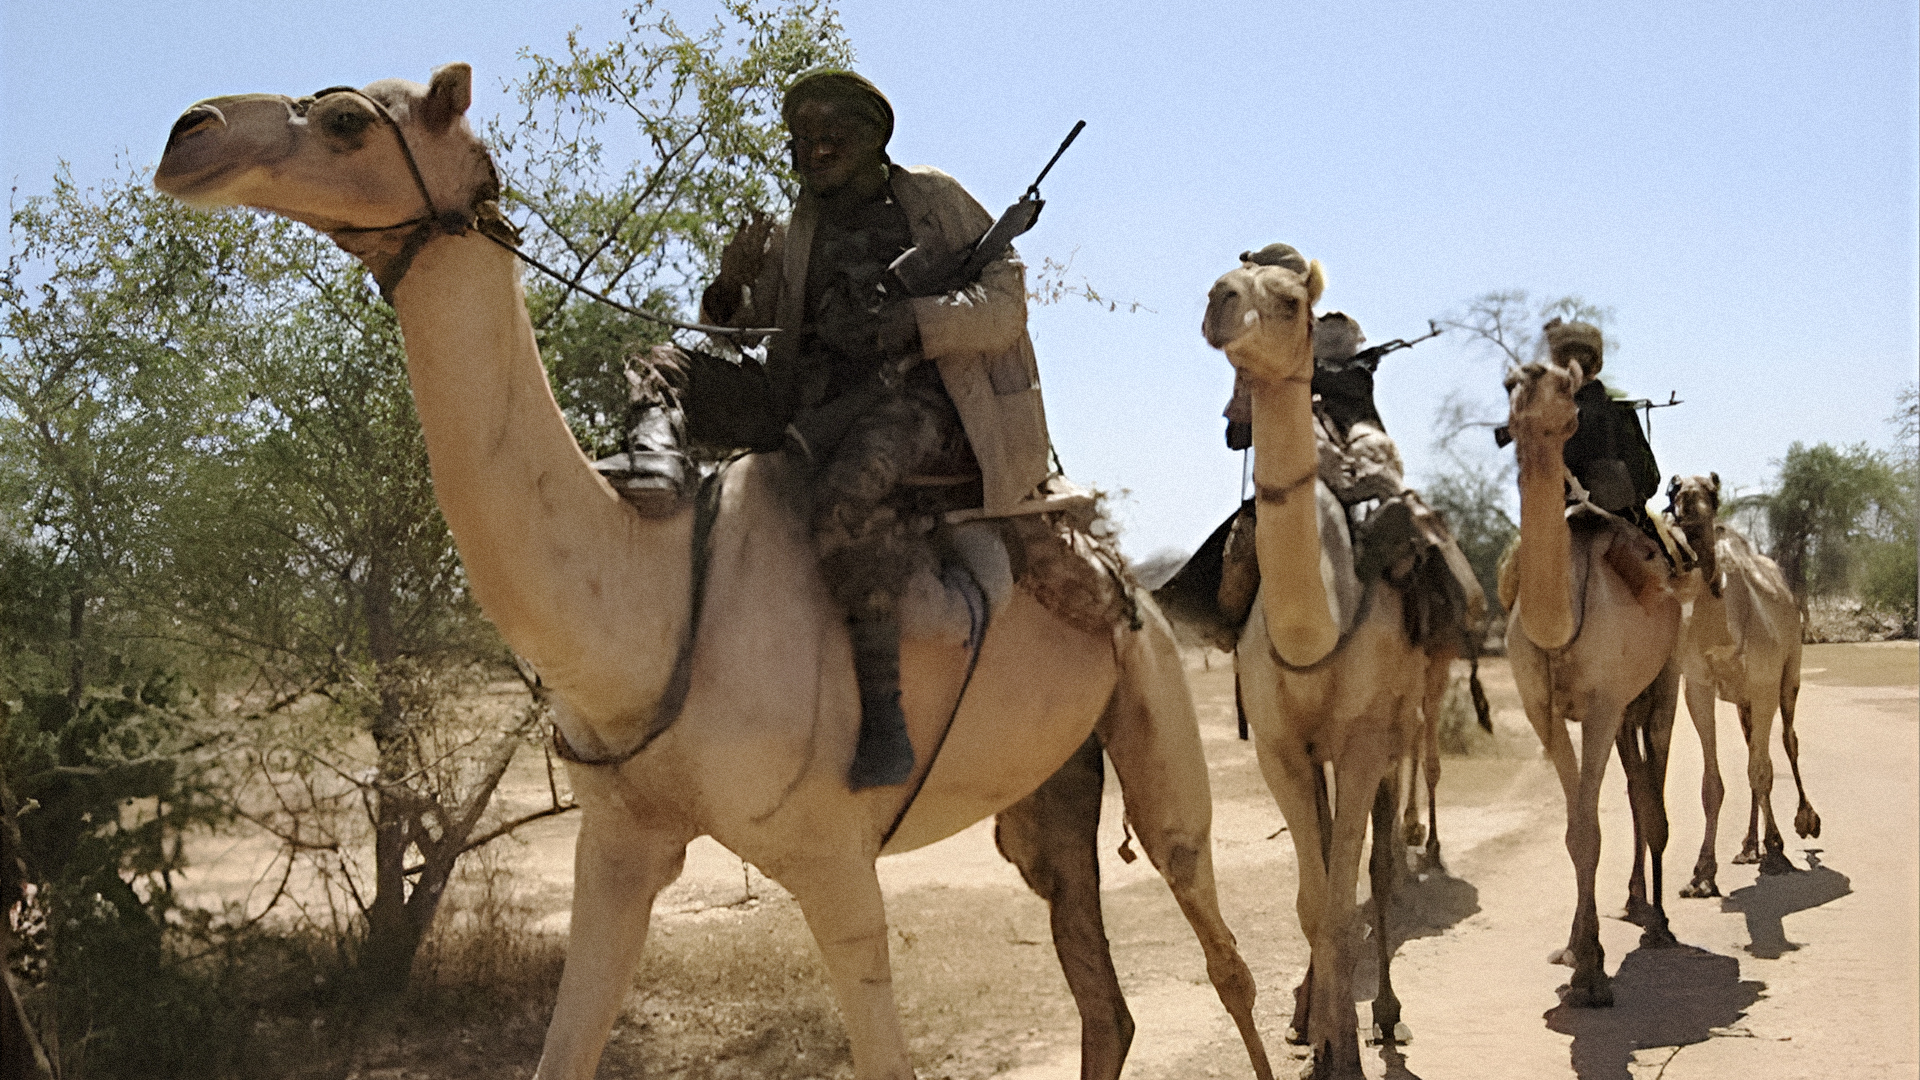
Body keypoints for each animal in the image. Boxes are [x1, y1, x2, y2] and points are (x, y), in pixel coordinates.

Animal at [157, 65, 1274, 1076]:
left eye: (347, 121)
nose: (188, 133)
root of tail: (1121, 579)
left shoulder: (834, 865)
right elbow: (565, 1047)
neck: (649, 599)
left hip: (1154, 722)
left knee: (1220, 948)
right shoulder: (617, 845)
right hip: (1046, 793)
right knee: (1103, 1002)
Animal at [1198, 255, 1428, 1068]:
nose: (1220, 302)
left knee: (1378, 867)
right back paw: (1308, 1014)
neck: (1314, 626)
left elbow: (1341, 895)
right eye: (1227, 279)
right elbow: (1310, 901)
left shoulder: (1362, 741)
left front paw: (1349, 1054)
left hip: (1400, 726)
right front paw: (1323, 1044)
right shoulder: (1278, 747)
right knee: (1329, 861)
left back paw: (1386, 1012)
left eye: (1291, 300)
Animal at [1497, 349, 1681, 1006]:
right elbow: (1578, 828)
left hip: (1666, 678)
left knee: (1653, 790)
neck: (1561, 619)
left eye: (1565, 386)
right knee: (1635, 787)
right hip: (1625, 706)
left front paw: (1594, 974)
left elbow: (1591, 830)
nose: (1530, 386)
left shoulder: (1600, 705)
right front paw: (1578, 954)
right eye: (1510, 382)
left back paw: (1659, 922)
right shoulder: (1545, 712)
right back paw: (1634, 904)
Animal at [1666, 472, 1812, 891]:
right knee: (1753, 750)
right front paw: (1702, 874)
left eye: (1712, 488)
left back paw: (1800, 825)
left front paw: (1778, 852)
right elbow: (1713, 784)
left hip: (1789, 674)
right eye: (1674, 487)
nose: (1689, 499)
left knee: (1787, 742)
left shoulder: (1764, 684)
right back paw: (1749, 846)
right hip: (1744, 701)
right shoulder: (1698, 686)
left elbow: (1763, 770)